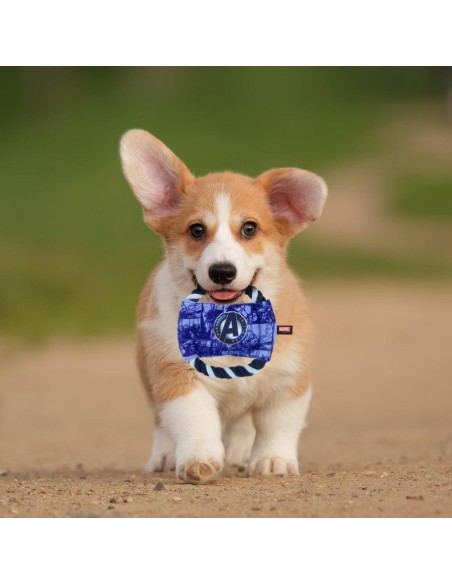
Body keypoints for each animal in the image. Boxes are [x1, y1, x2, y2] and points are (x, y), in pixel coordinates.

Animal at [118, 129, 326, 484]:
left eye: (249, 228)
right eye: (196, 230)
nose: (222, 271)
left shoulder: (287, 382)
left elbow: (277, 425)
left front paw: (272, 460)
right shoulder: (178, 375)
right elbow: (194, 421)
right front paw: (198, 460)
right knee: (161, 422)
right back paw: (166, 455)